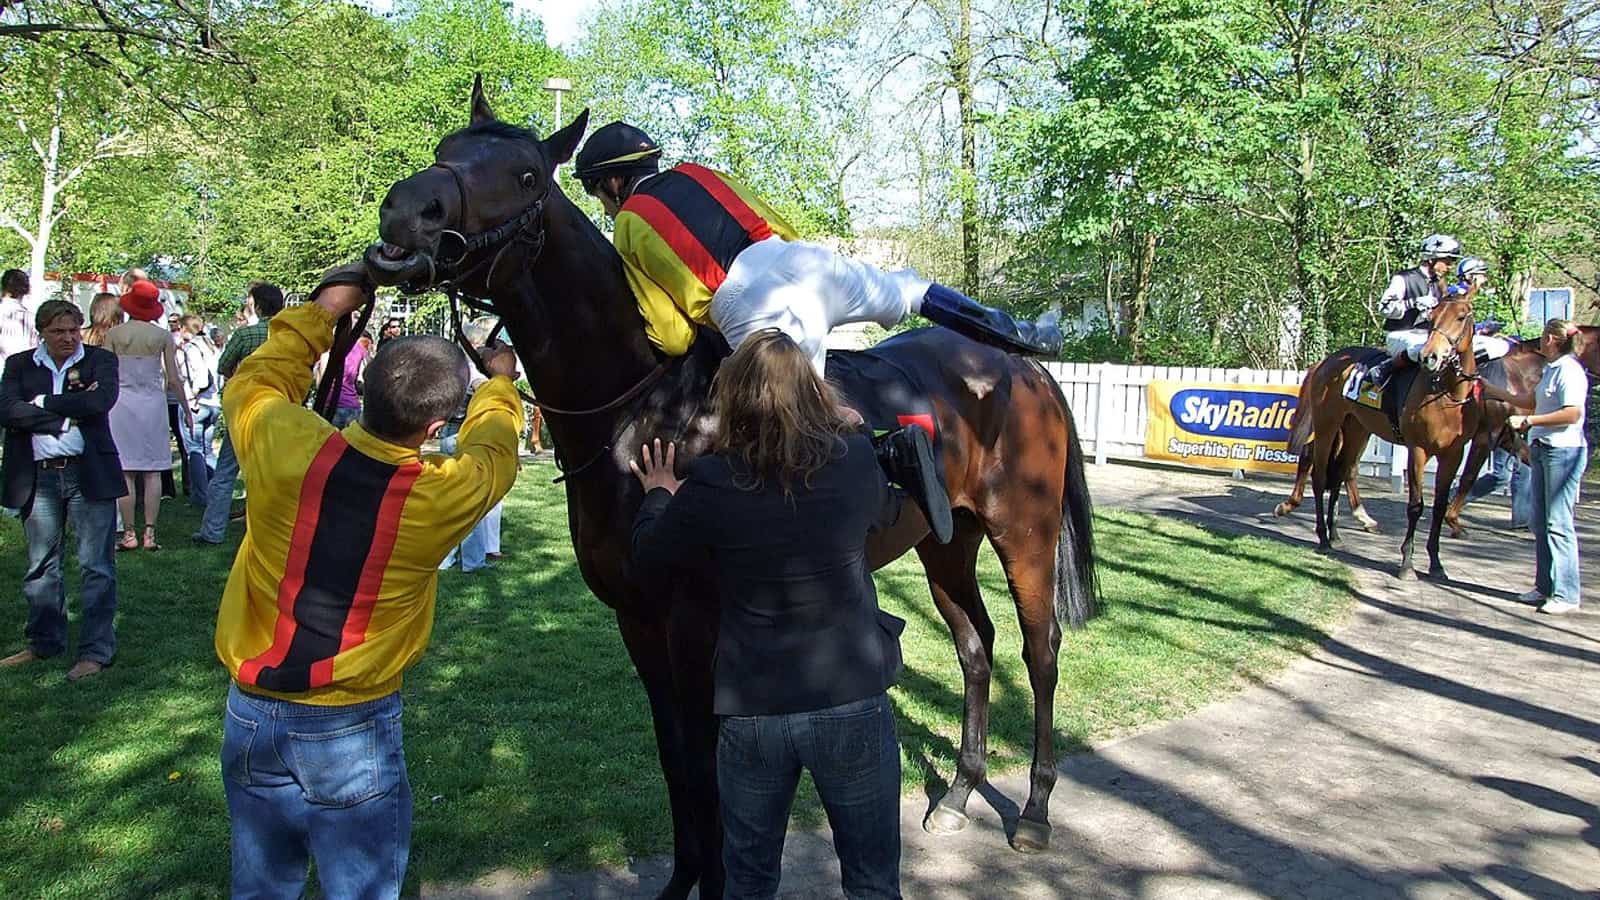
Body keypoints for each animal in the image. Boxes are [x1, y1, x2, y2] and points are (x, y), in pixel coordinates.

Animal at [363, 81, 1098, 898]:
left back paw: (1034, 810)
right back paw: (963, 791)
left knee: (1039, 649)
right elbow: (676, 762)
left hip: (1022, 529)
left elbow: (709, 766)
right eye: (445, 150)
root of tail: (1021, 367)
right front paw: (681, 878)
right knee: (975, 645)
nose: (406, 212)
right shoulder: (638, 623)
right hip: (946, 540)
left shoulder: (697, 626)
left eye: (526, 175)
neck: (643, 408)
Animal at [1283, 292, 1482, 578]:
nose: (1430, 356)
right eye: (1432, 316)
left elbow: (1439, 507)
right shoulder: (1418, 450)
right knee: (1320, 477)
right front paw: (1407, 563)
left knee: (1340, 473)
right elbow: (1416, 506)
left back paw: (1335, 534)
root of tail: (1326, 361)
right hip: (1327, 426)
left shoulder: (1452, 454)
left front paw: (1436, 563)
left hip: (1356, 429)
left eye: (1461, 316)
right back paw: (1322, 537)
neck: (1446, 394)